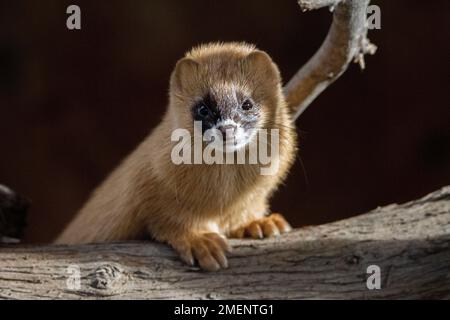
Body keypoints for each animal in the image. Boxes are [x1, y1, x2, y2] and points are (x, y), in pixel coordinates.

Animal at [55, 42, 296, 272]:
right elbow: (169, 218)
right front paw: (201, 241)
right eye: (202, 108)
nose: (226, 129)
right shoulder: (148, 186)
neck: (224, 197)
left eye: (247, 103)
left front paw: (260, 223)